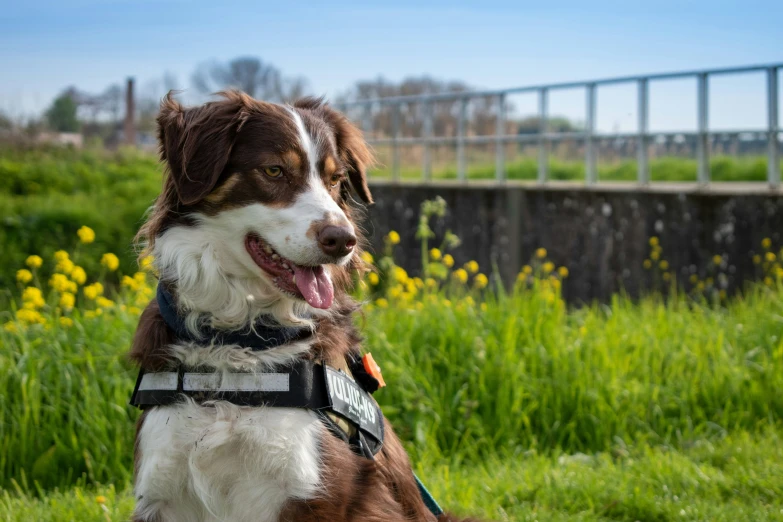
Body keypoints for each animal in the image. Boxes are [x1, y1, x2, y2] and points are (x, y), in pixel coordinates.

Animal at [130, 91, 472, 516]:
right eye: (274, 170)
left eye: (335, 180)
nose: (343, 240)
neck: (241, 339)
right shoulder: (161, 489)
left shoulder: (318, 489)